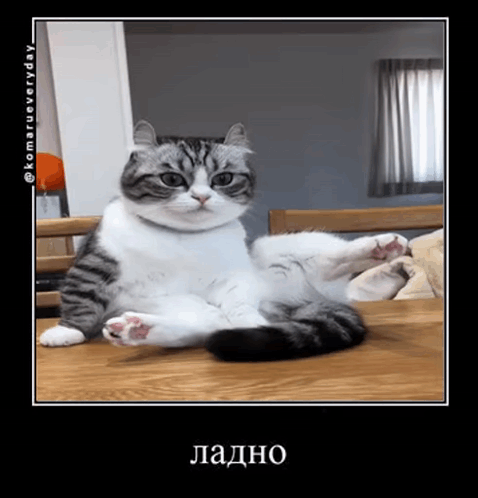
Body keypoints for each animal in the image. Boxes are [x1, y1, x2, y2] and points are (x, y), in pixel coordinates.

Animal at [39, 120, 407, 361]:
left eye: (223, 178)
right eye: (172, 178)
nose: (202, 196)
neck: (184, 239)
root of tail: (286, 307)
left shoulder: (235, 277)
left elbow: (239, 305)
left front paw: (248, 322)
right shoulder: (95, 262)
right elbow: (80, 296)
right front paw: (67, 331)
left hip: (288, 249)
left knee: (331, 263)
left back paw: (380, 247)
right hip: (161, 303)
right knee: (204, 326)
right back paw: (138, 330)